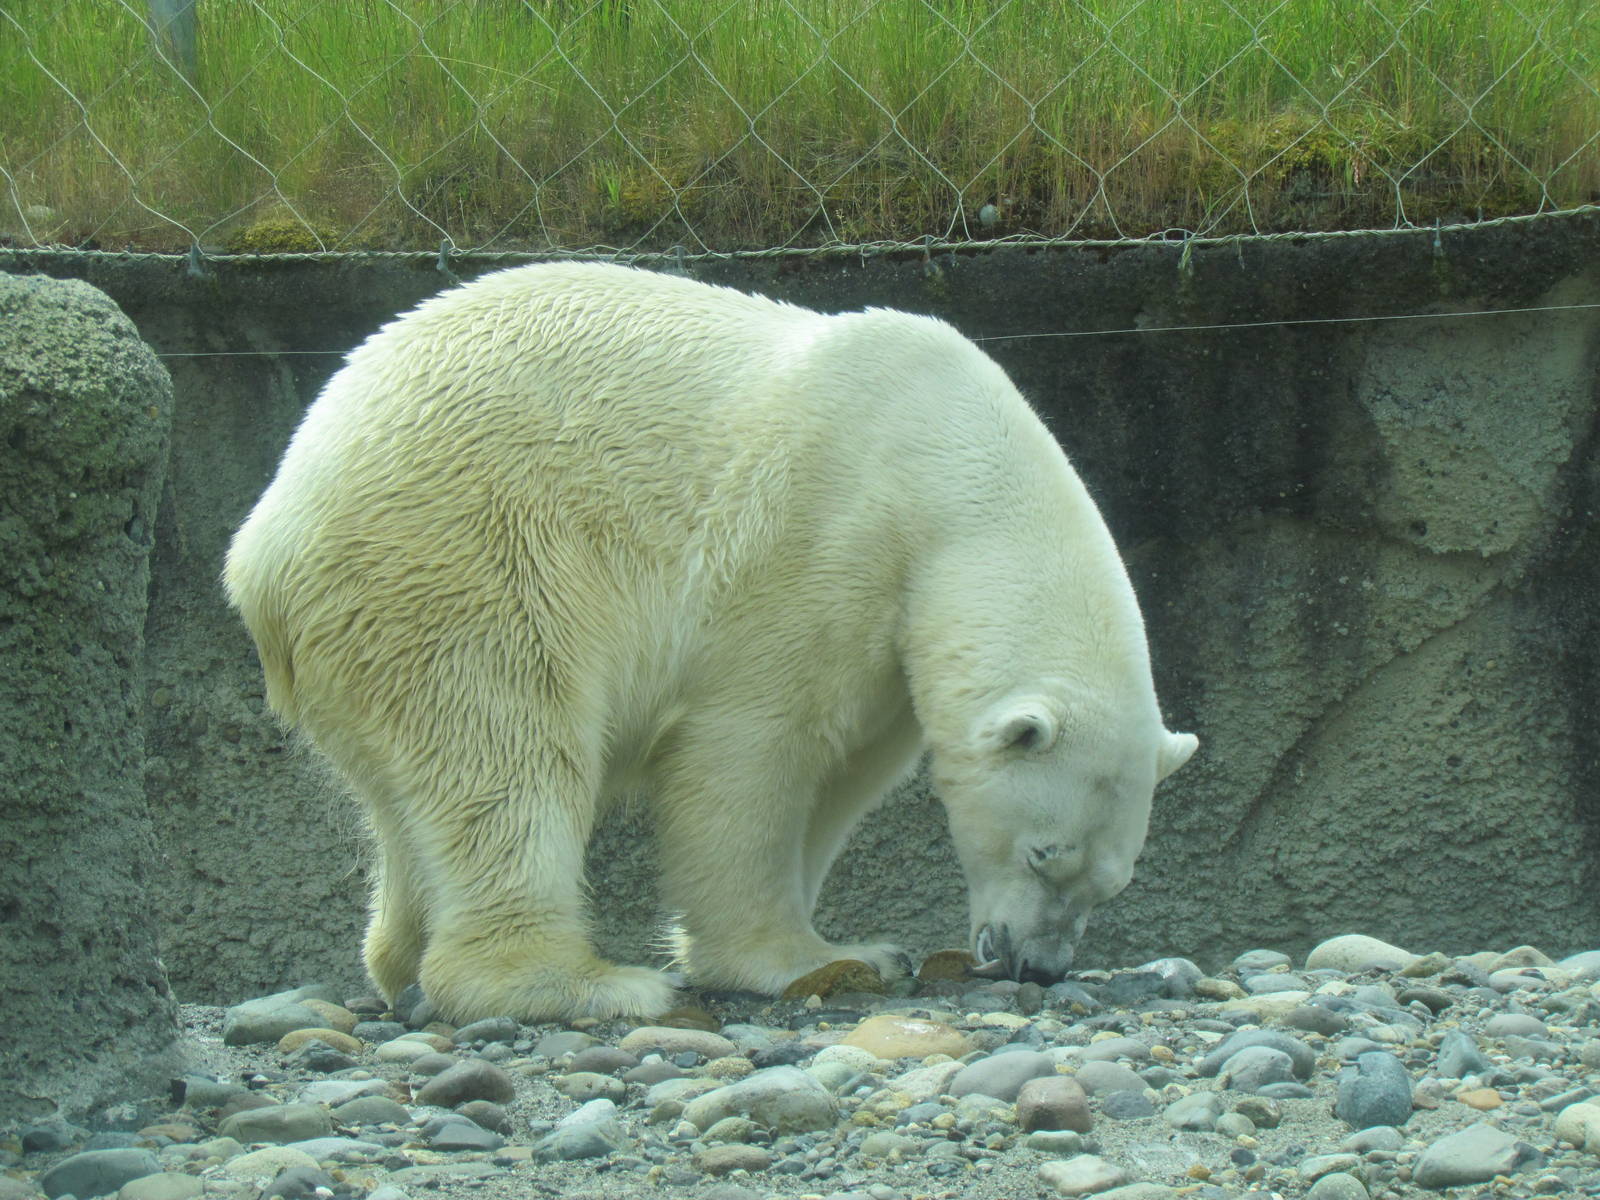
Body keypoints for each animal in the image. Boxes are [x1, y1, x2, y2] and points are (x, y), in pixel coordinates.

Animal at [225, 262, 1197, 1023]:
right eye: (1043, 853)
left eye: (1110, 882)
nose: (1039, 965)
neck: (947, 470)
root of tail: (265, 543)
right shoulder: (817, 542)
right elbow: (749, 753)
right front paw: (805, 958)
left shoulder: (892, 640)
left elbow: (843, 773)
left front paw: (850, 946)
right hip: (462, 558)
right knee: (507, 748)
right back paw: (581, 983)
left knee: (411, 797)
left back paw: (401, 964)